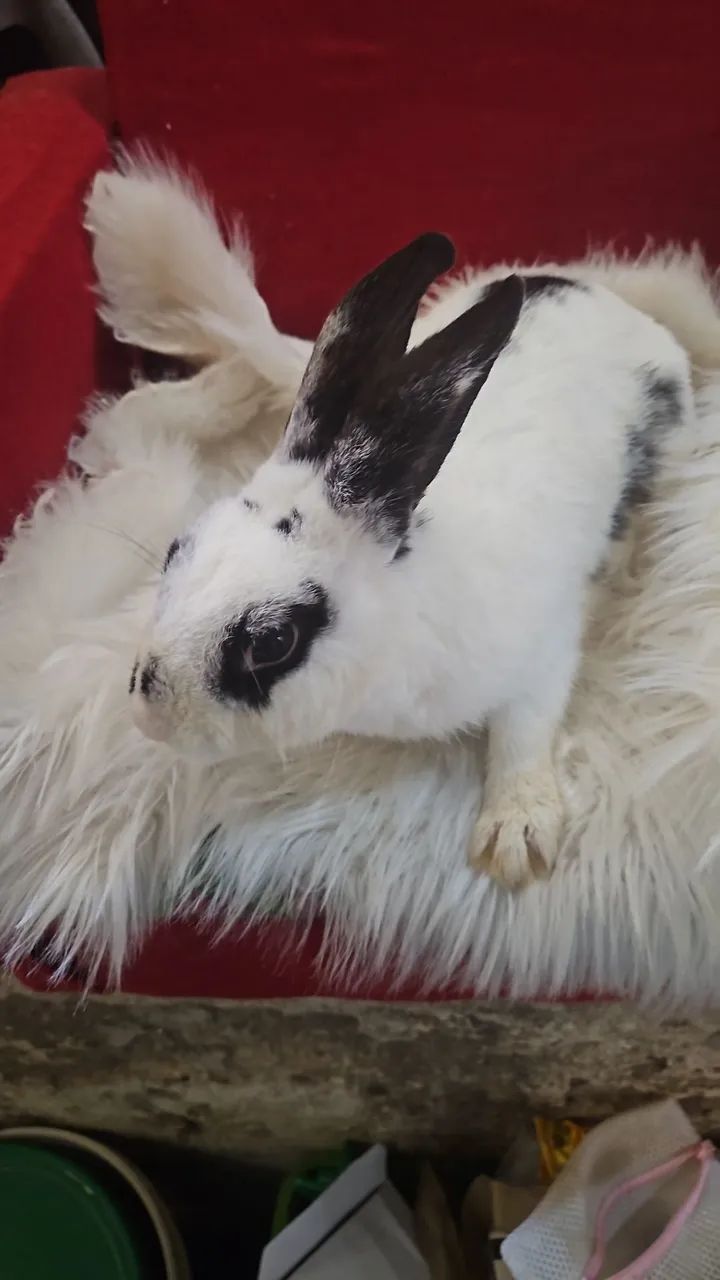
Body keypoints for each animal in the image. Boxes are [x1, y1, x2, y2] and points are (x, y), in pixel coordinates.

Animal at [128, 231, 693, 889]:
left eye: (272, 642)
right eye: (176, 550)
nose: (149, 714)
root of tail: (619, 304)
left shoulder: (543, 656)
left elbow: (523, 733)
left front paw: (515, 840)